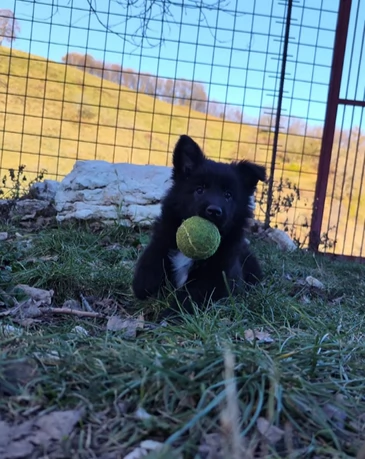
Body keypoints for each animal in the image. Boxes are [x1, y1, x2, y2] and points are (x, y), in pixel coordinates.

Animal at [132, 135, 264, 318]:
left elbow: (192, 296)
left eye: (228, 195)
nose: (214, 211)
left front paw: (171, 313)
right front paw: (145, 286)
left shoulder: (218, 278)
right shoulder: (162, 240)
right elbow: (150, 263)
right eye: (199, 190)